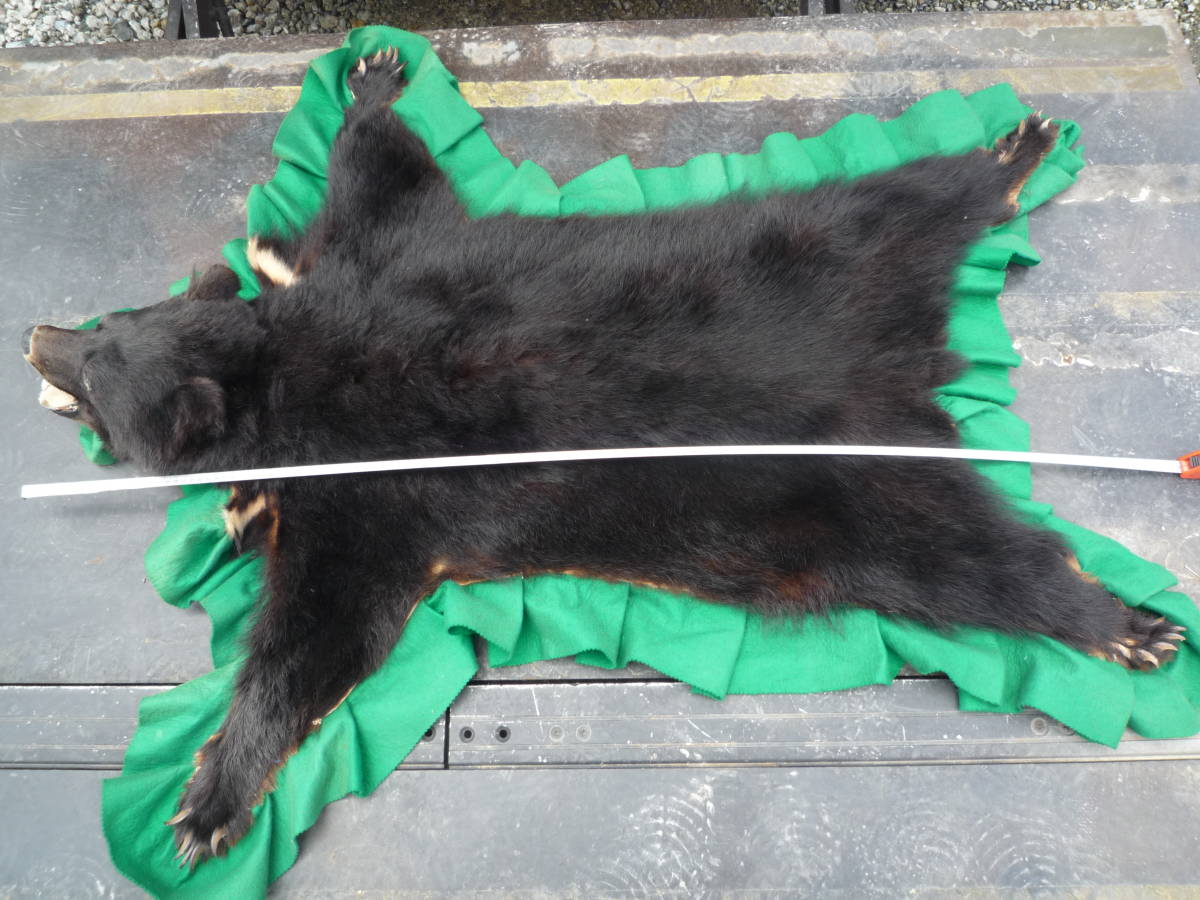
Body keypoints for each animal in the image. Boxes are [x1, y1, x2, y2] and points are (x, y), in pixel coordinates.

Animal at [21, 48, 1185, 867]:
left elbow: (319, 630)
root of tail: (912, 370)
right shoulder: (373, 298)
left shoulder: (377, 478)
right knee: (915, 206)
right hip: (838, 254)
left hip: (852, 476)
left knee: (983, 561)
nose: (36, 335)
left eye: (99, 370)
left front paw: (206, 801)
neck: (283, 373)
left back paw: (1130, 623)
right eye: (105, 329)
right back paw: (1012, 155)